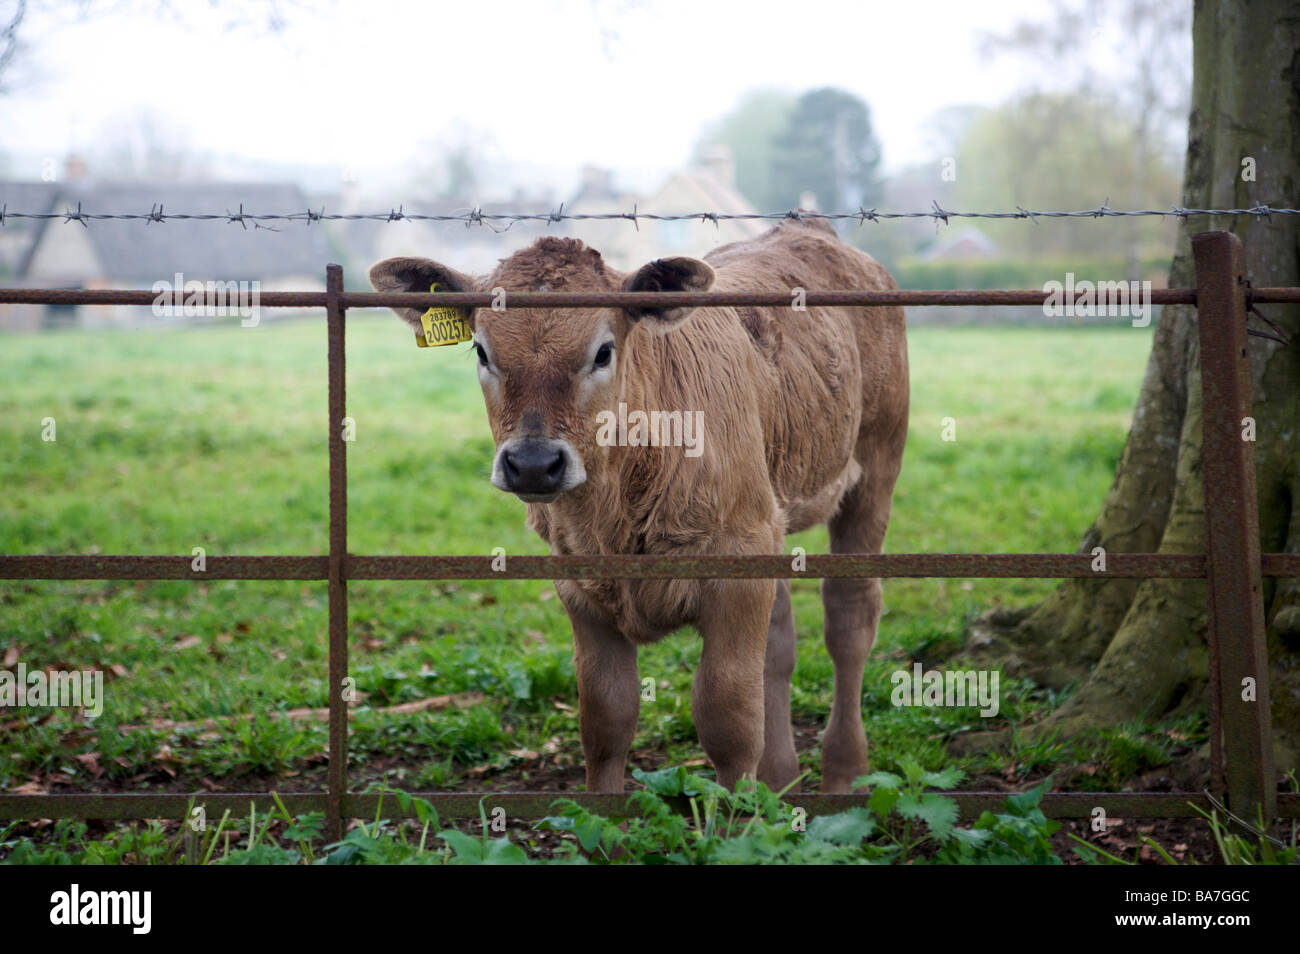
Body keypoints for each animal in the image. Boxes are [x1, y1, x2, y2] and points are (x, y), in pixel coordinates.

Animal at [370, 218, 909, 793]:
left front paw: (739, 815)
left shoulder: (736, 576)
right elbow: (607, 719)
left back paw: (845, 775)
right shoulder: (580, 587)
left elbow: (729, 719)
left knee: (849, 620)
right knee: (781, 643)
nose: (534, 463)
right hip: (771, 515)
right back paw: (780, 782)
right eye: (481, 351)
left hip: (875, 469)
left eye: (603, 352)